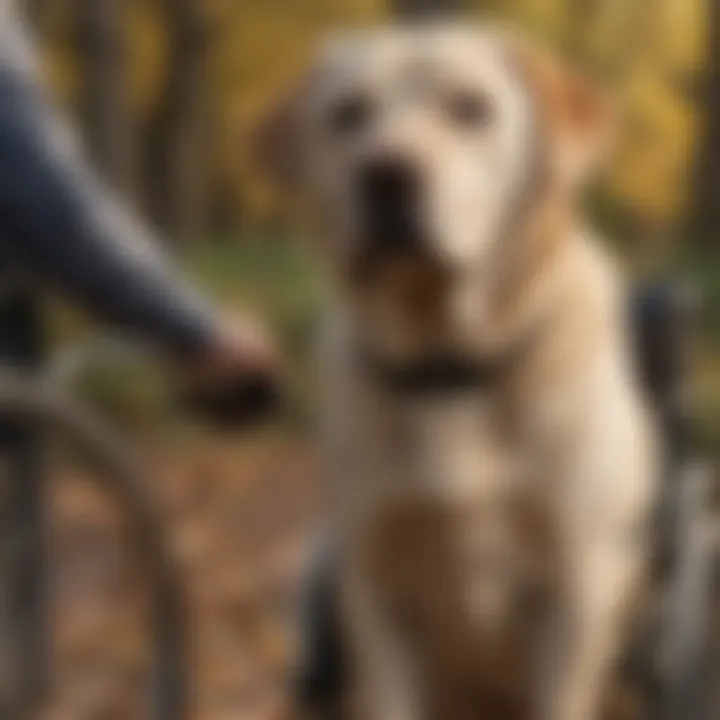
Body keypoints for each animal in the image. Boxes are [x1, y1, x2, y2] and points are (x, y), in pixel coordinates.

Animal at [258, 22, 660, 720]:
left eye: (471, 108)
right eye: (347, 115)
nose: (386, 175)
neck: (449, 368)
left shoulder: (579, 586)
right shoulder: (375, 586)